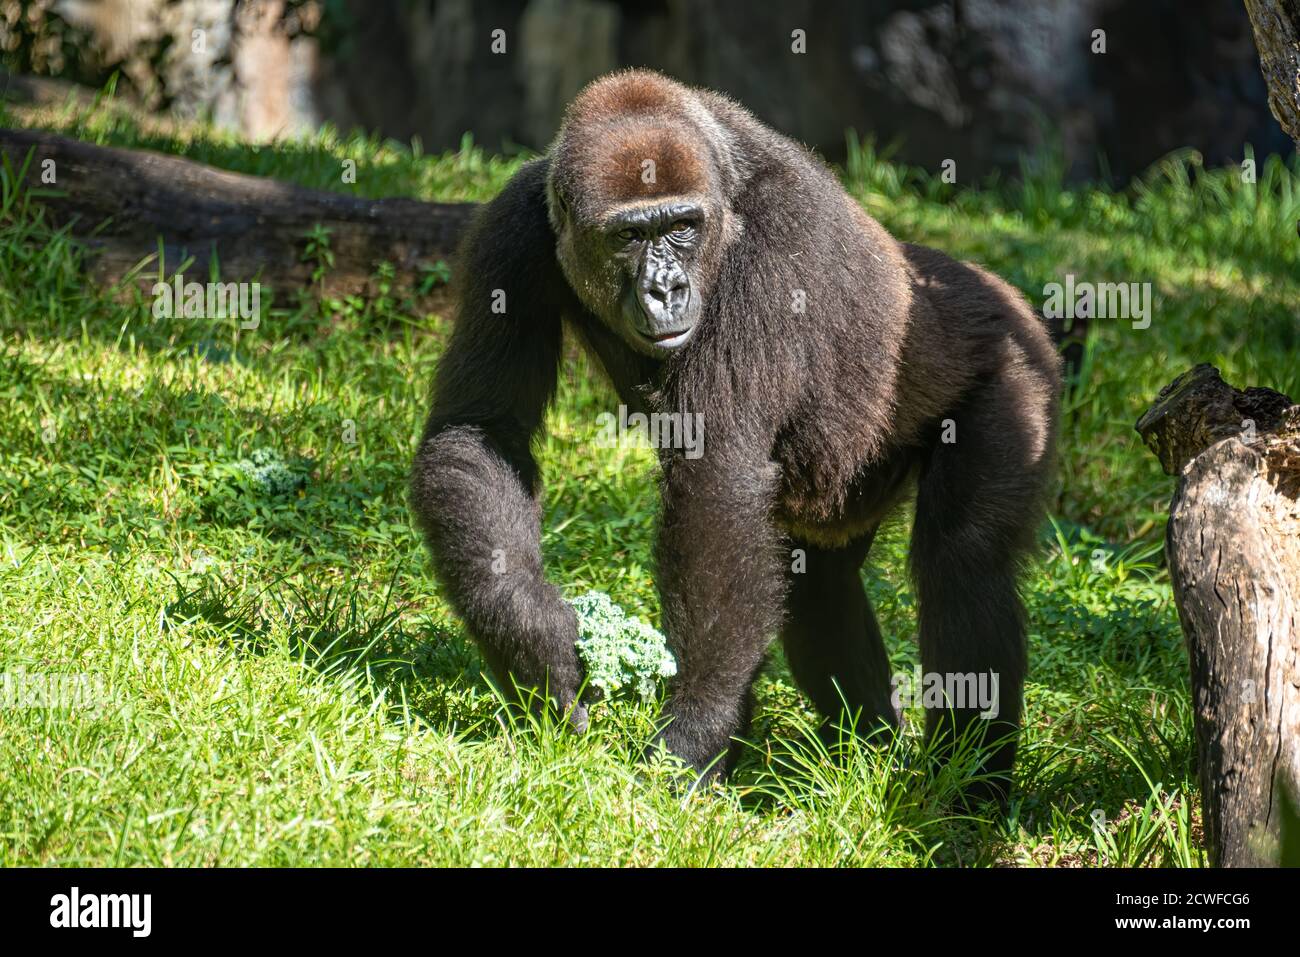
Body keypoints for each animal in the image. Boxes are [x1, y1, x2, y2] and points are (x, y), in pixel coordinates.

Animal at [410, 69, 1060, 800]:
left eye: (681, 227)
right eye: (629, 236)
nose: (667, 289)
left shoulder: (775, 240)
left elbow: (715, 475)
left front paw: (697, 730)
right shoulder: (512, 227)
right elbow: (482, 427)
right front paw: (532, 642)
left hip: (1015, 365)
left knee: (965, 563)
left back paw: (965, 793)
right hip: (841, 488)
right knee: (819, 586)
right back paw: (865, 751)